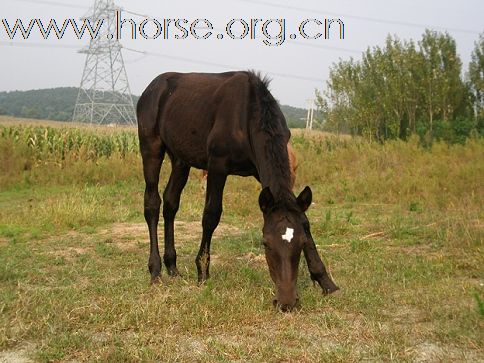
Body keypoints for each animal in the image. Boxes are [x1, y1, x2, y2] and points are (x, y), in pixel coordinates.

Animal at [138, 72, 338, 312]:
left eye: (300, 243)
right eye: (265, 243)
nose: (287, 302)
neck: (248, 113)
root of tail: (152, 88)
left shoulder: (262, 173)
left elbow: (303, 219)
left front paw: (326, 281)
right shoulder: (217, 166)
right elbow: (211, 215)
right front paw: (202, 273)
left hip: (180, 159)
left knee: (170, 203)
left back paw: (173, 267)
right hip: (151, 148)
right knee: (152, 203)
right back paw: (156, 271)